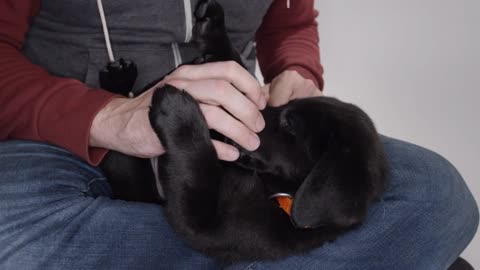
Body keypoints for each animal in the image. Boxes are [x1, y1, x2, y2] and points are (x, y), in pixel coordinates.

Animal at [99, 0, 388, 264]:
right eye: (282, 108)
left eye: (289, 124)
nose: (254, 111)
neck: (275, 192)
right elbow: (236, 68)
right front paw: (213, 26)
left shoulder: (206, 225)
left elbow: (198, 170)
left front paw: (178, 111)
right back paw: (118, 76)